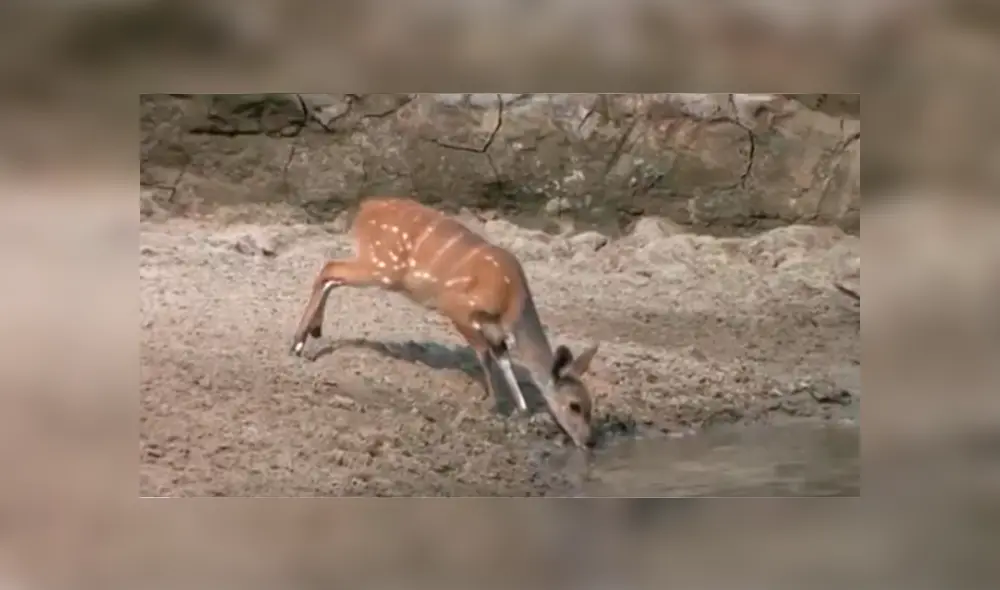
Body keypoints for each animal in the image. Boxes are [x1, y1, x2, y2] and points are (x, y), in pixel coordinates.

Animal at [288, 196, 600, 448]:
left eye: (590, 405)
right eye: (574, 406)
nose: (588, 442)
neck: (511, 302)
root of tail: (364, 209)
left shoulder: (495, 332)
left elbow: (504, 360)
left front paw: (522, 410)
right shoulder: (458, 309)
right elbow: (484, 355)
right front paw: (494, 405)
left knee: (331, 274)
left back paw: (312, 332)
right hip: (383, 267)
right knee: (329, 268)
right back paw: (298, 343)